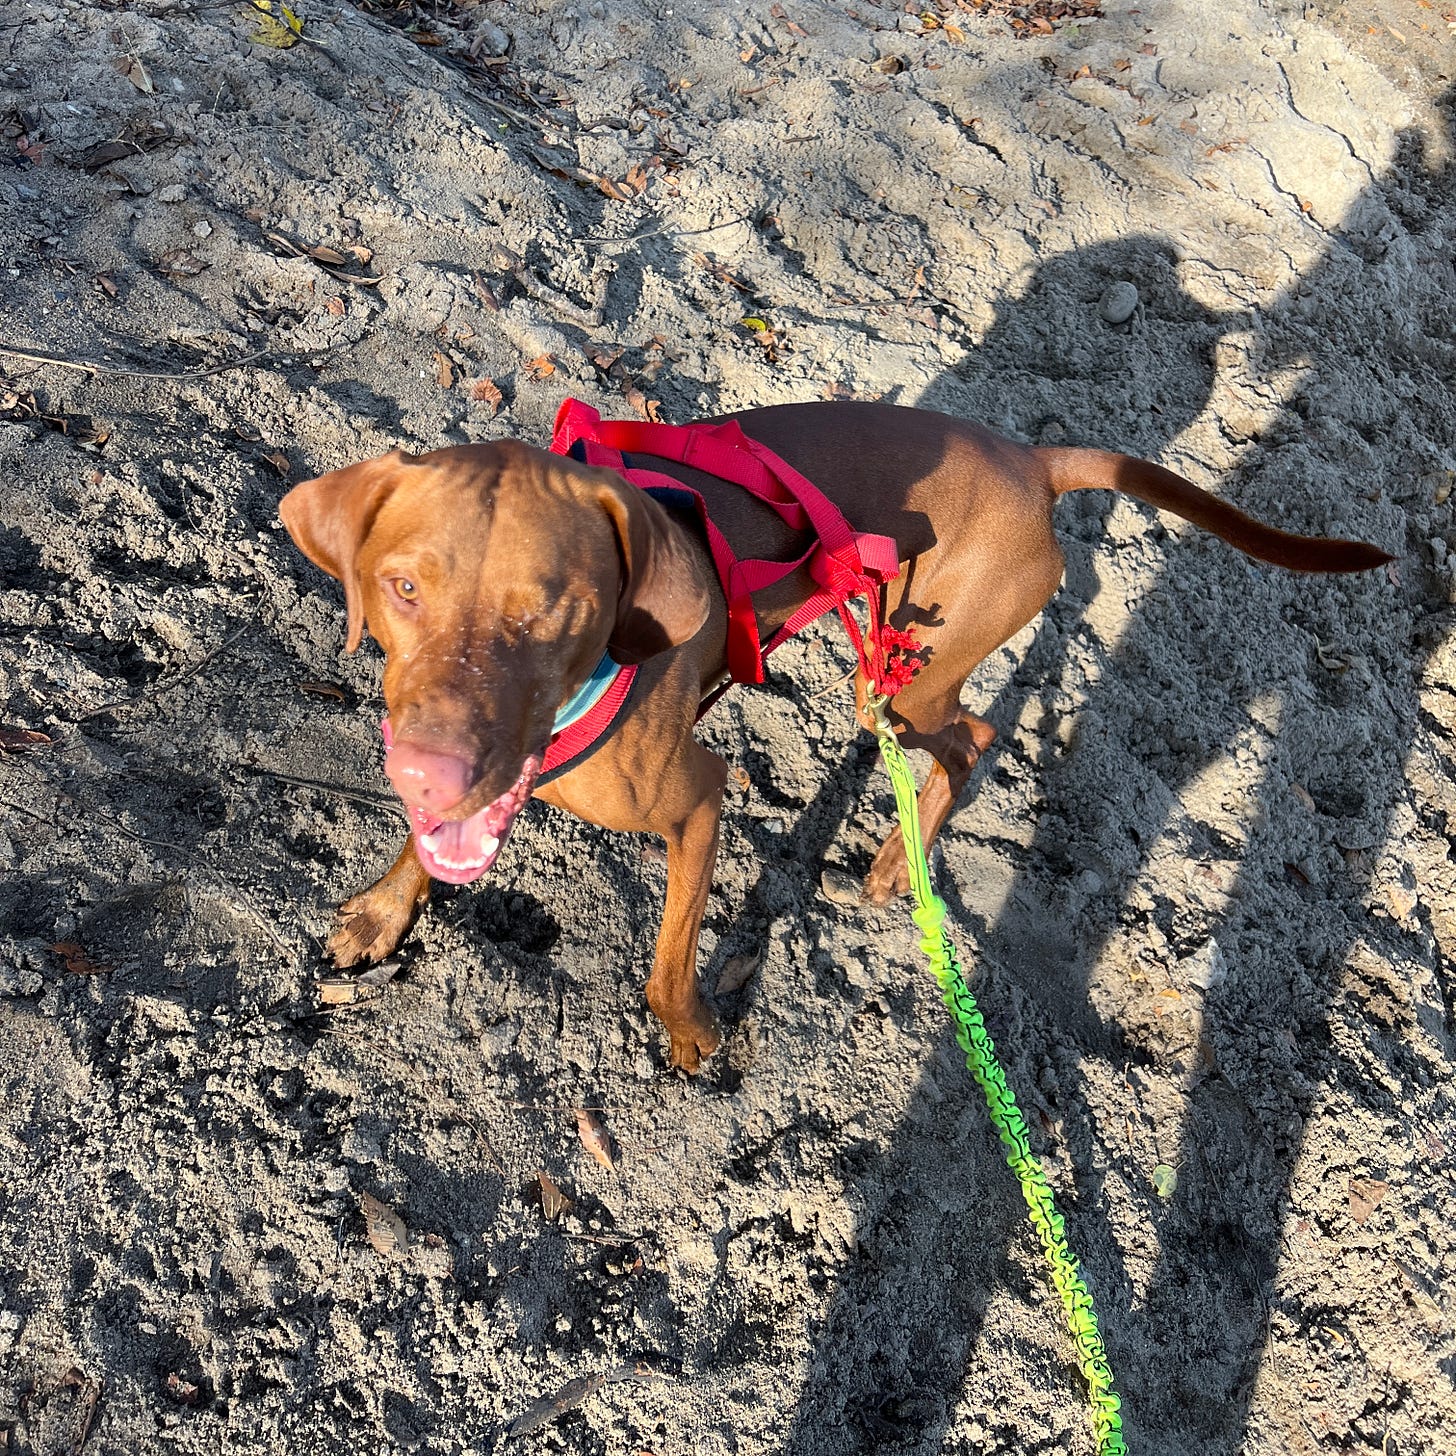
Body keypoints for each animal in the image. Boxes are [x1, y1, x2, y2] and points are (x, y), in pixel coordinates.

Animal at [275, 398, 1386, 1071]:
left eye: (554, 611)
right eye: (401, 588)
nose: (432, 768)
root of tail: (1029, 460)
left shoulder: (699, 797)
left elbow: (669, 957)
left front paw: (692, 1032)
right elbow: (426, 850)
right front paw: (387, 908)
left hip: (903, 684)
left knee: (976, 734)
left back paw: (900, 862)